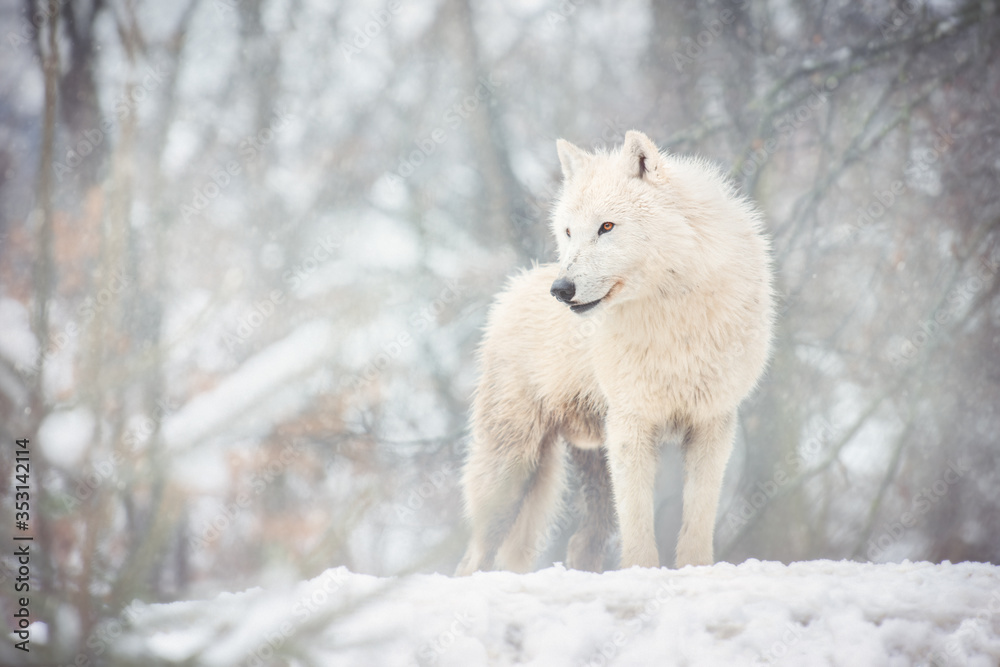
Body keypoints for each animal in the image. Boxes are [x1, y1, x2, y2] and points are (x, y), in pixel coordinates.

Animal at [456, 130, 774, 574]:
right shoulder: (631, 424)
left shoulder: (712, 422)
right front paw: (642, 572)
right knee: (474, 555)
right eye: (568, 231)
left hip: (586, 463)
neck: (671, 316)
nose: (561, 289)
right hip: (513, 466)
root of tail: (515, 284)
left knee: (579, 543)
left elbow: (697, 518)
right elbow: (638, 524)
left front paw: (695, 570)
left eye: (606, 227)